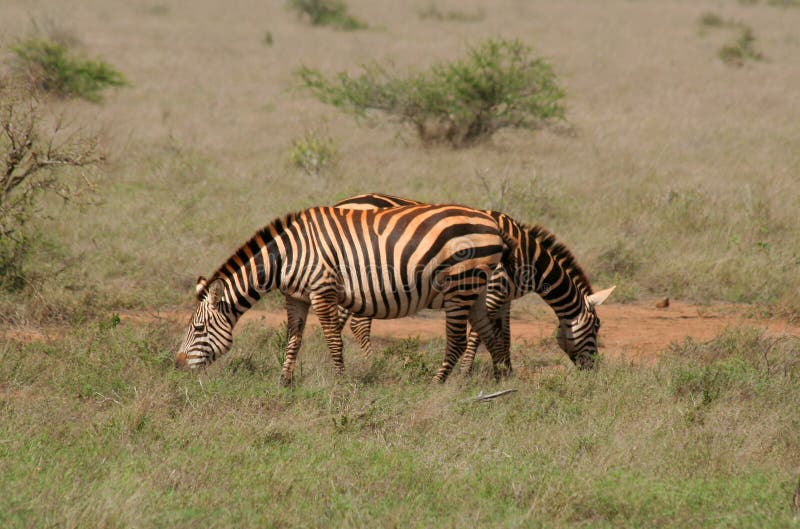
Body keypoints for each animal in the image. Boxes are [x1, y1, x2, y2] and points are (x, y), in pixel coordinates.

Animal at [173, 203, 512, 384]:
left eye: (198, 328)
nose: (176, 365)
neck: (287, 255)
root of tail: (492, 222)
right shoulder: (296, 297)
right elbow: (293, 339)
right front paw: (284, 382)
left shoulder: (322, 290)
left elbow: (333, 340)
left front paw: (340, 383)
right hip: (475, 289)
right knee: (492, 335)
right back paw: (502, 382)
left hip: (460, 287)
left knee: (457, 341)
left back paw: (436, 384)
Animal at [334, 192, 616, 370]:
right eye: (597, 326)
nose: (594, 370)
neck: (528, 257)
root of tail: (346, 202)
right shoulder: (491, 291)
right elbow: (477, 335)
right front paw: (467, 372)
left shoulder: (504, 297)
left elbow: (504, 334)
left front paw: (505, 369)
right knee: (358, 323)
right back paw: (370, 364)